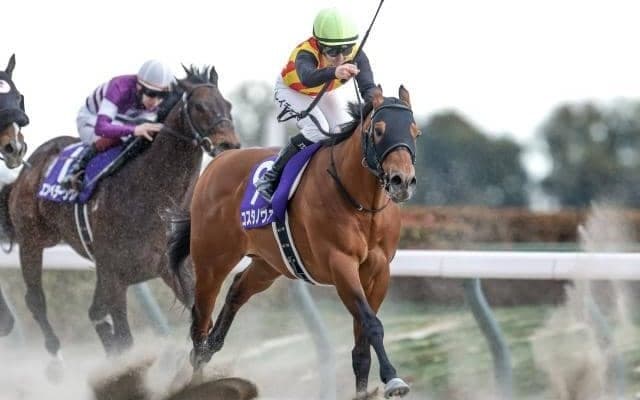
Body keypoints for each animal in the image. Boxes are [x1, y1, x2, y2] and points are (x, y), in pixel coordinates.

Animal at [0, 65, 240, 361]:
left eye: (227, 105)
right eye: (199, 106)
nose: (230, 145)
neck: (154, 199)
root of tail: (28, 168)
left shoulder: (174, 269)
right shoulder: (115, 277)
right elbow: (125, 339)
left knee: (94, 313)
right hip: (33, 240)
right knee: (36, 300)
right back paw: (56, 359)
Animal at [167, 86, 419, 399]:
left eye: (415, 131)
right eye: (379, 130)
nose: (402, 180)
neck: (361, 202)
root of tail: (216, 164)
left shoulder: (379, 271)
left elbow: (362, 349)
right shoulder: (340, 264)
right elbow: (372, 324)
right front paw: (393, 379)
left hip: (268, 264)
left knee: (235, 292)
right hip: (212, 262)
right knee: (199, 328)